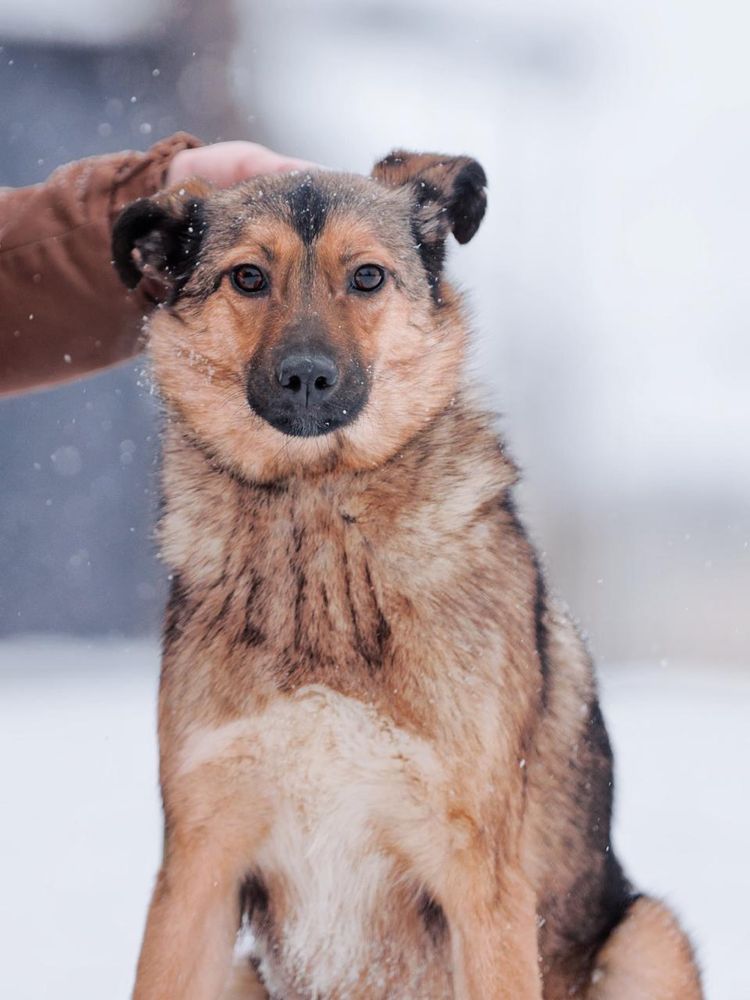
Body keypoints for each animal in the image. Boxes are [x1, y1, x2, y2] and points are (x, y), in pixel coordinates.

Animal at [111, 150, 704, 1000]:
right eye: (248, 277)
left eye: (366, 277)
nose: (306, 377)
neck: (320, 519)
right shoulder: (197, 872)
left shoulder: (481, 882)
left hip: (650, 937)